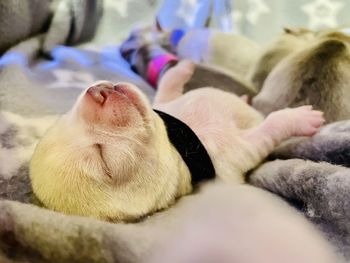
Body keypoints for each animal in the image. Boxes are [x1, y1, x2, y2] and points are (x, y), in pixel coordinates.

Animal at [30, 60, 326, 223]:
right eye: (103, 159)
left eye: (69, 115)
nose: (95, 92)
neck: (182, 143)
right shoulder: (242, 152)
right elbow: (270, 129)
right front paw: (300, 118)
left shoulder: (165, 101)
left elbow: (168, 85)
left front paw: (181, 67)